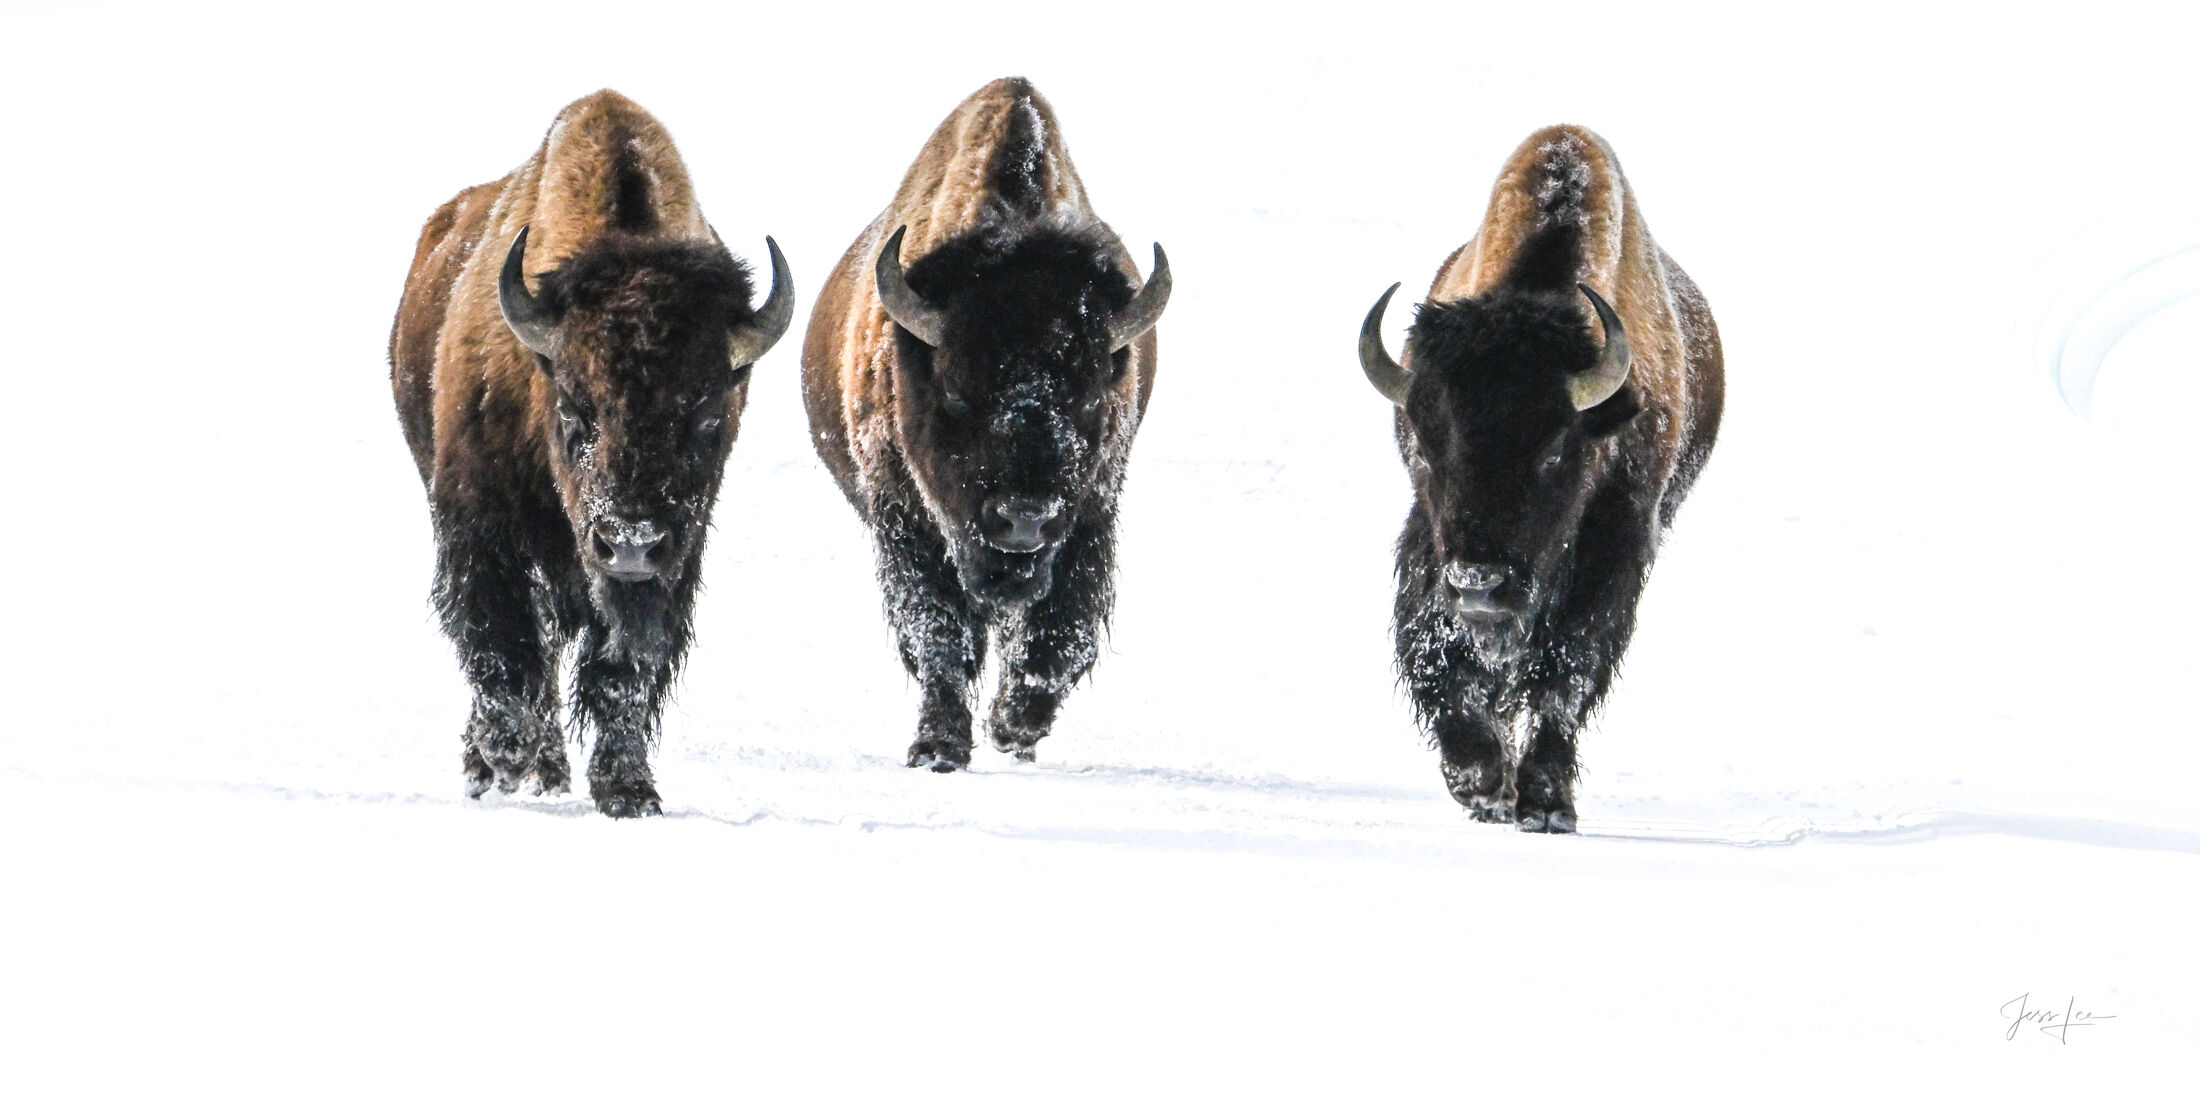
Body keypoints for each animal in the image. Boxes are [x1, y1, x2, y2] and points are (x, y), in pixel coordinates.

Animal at [389, 90, 793, 817]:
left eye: (707, 414)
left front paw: (628, 790)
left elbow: (623, 668)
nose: (628, 542)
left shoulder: (671, 558)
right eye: (575, 407)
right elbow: (501, 640)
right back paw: (505, 767)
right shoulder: (478, 527)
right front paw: (505, 755)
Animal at [801, 77, 1170, 771]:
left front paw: (1013, 726)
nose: (1022, 518)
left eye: (1088, 397)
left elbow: (1064, 634)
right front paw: (938, 747)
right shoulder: (905, 518)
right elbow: (938, 633)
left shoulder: (1091, 513)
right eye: (954, 390)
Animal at [1356, 125, 1723, 833]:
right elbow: (1434, 652)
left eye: (1554, 453)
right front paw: (1480, 783)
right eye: (1428, 449)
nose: (1478, 585)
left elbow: (1568, 671)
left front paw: (1546, 805)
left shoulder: (1618, 545)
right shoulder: (1428, 543)